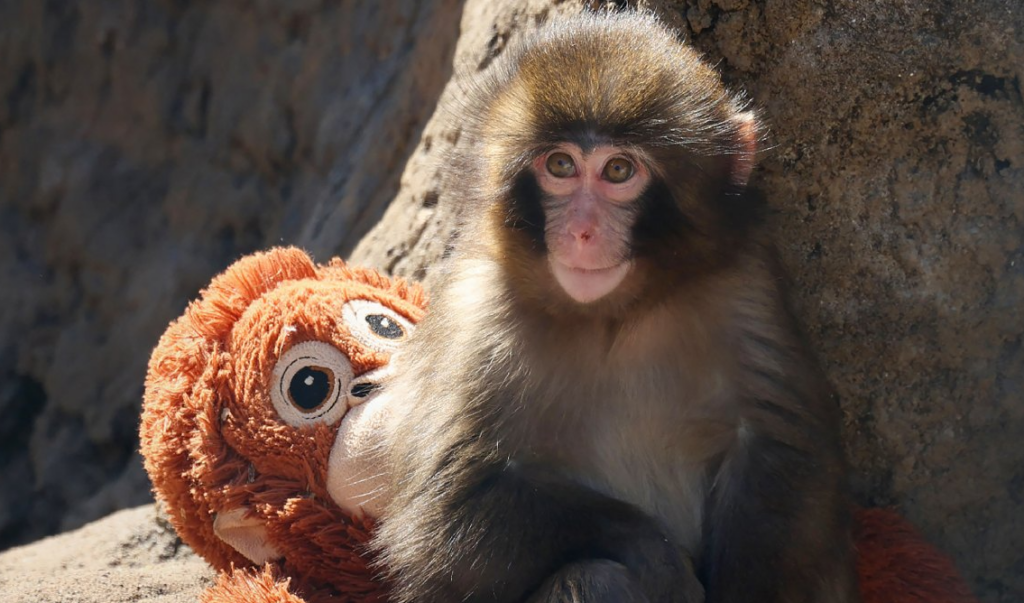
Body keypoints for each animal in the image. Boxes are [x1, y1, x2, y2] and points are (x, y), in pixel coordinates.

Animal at [370, 11, 859, 603]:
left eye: (619, 171)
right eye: (560, 165)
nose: (582, 232)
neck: (613, 316)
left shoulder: (745, 285)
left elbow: (782, 452)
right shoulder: (477, 316)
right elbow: (446, 519)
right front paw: (654, 553)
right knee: (593, 577)